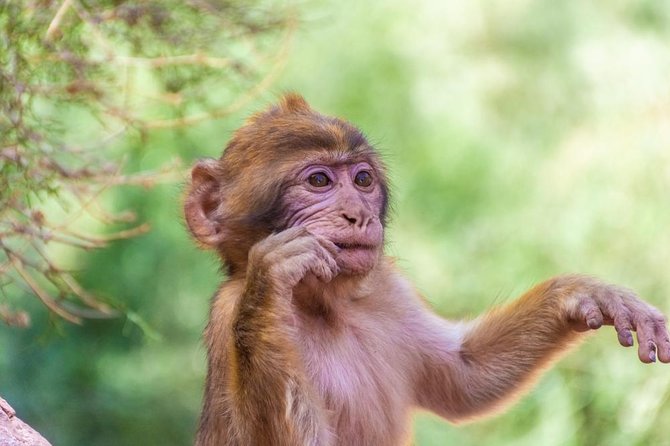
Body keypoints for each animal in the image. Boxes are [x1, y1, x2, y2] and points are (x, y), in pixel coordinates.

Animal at [185, 94, 670, 446]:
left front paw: (583, 293)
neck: (321, 308)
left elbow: (463, 377)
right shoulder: (229, 312)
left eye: (362, 180)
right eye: (319, 181)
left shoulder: (385, 288)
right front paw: (271, 281)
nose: (359, 215)